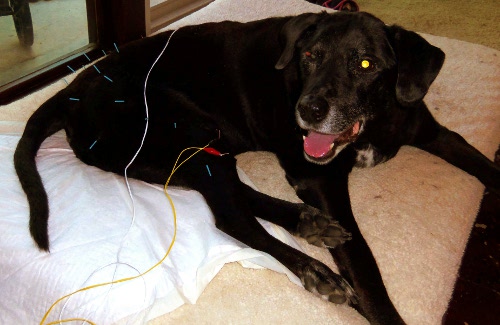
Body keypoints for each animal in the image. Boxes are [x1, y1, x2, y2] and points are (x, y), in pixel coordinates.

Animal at [13, 11, 498, 322]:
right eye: (309, 56)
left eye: (366, 63)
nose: (308, 109)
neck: (375, 120)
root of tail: (71, 89)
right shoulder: (318, 176)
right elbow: (364, 267)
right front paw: (371, 302)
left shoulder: (435, 134)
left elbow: (486, 167)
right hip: (188, 130)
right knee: (233, 219)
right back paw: (318, 271)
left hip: (186, 151)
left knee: (236, 197)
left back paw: (307, 223)